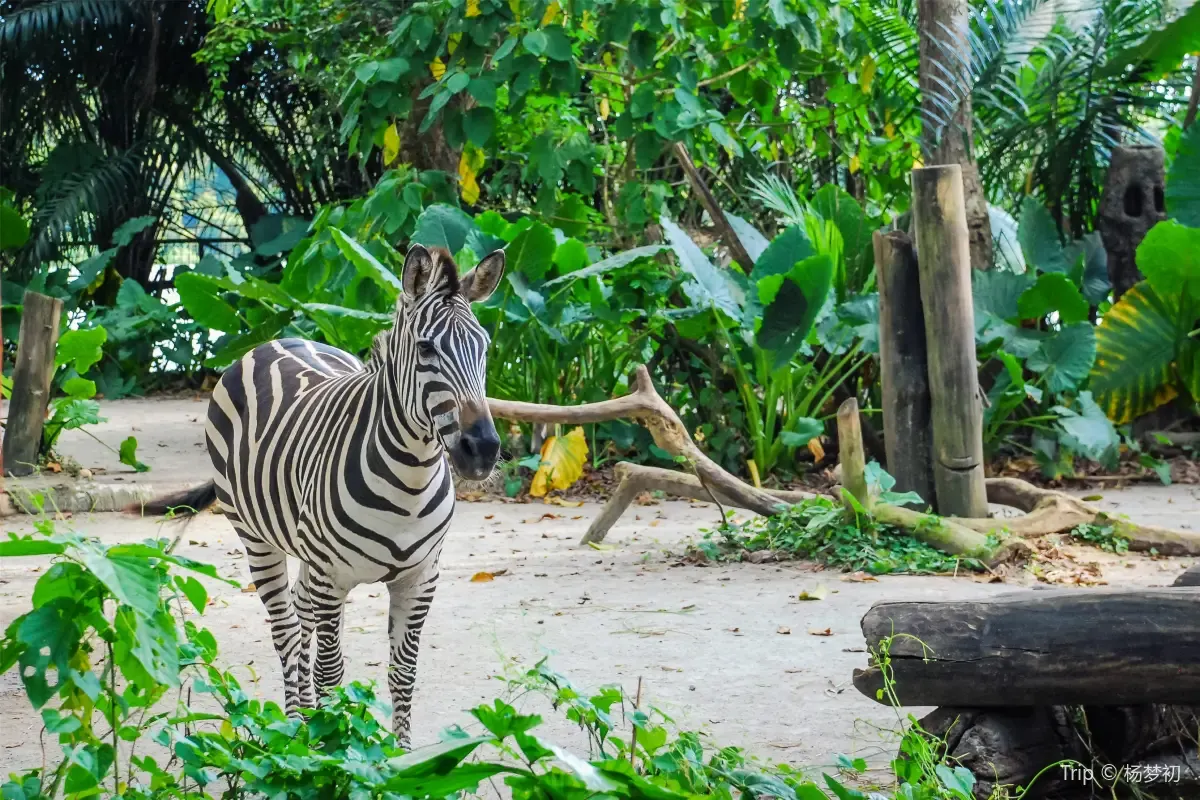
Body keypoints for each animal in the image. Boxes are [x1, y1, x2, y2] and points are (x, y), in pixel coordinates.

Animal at [138, 245, 508, 753]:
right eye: (426, 349)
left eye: (485, 348)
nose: (483, 450)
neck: (409, 483)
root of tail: (279, 339)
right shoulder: (332, 578)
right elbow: (331, 672)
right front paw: (335, 753)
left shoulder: (420, 579)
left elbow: (403, 674)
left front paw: (401, 755)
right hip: (258, 539)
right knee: (287, 632)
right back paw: (296, 731)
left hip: (308, 556)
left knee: (300, 617)